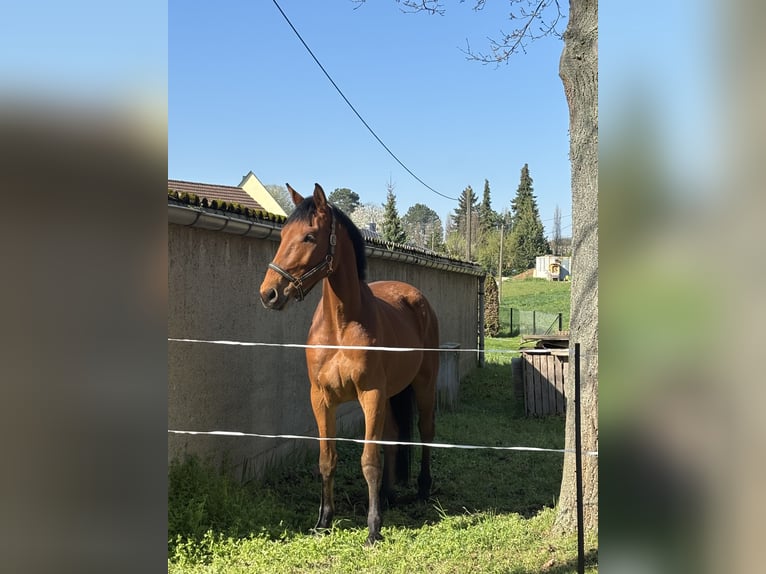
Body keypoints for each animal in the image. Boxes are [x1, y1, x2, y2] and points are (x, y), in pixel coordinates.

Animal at [259, 183, 439, 545]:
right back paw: (385, 497)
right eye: (283, 234)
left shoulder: (370, 395)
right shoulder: (321, 398)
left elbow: (368, 460)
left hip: (423, 385)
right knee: (393, 436)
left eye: (310, 237)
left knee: (425, 431)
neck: (340, 326)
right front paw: (324, 521)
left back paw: (423, 490)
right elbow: (327, 459)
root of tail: (417, 297)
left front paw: (373, 528)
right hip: (390, 395)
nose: (269, 293)